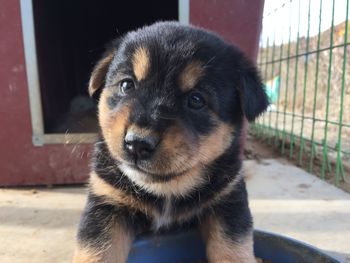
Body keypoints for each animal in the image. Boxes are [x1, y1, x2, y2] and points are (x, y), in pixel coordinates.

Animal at [74, 21, 268, 262]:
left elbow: (232, 249)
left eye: (196, 100)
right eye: (127, 85)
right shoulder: (107, 203)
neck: (166, 191)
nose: (137, 144)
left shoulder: (228, 203)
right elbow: (97, 253)